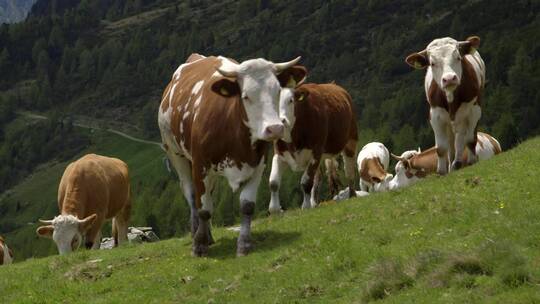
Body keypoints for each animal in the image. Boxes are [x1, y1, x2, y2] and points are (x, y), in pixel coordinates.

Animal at [158, 52, 306, 256]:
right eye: (245, 96)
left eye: (277, 91)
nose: (275, 128)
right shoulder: (200, 164)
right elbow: (203, 207)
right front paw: (199, 245)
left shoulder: (258, 164)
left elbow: (247, 205)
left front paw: (244, 244)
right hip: (175, 153)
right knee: (191, 195)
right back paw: (197, 231)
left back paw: (209, 235)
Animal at [268, 82, 358, 213]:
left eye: (290, 100)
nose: (280, 121)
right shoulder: (279, 154)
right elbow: (273, 182)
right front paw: (275, 209)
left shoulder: (316, 152)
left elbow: (306, 182)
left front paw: (305, 206)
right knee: (318, 178)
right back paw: (314, 202)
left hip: (351, 140)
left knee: (349, 170)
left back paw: (352, 195)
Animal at [404, 35, 486, 175]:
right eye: (432, 63)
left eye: (458, 57)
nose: (449, 79)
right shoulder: (435, 115)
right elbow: (441, 148)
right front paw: (442, 171)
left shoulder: (474, 110)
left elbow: (470, 139)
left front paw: (471, 161)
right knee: (453, 143)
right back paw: (453, 164)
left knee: (461, 139)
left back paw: (457, 162)